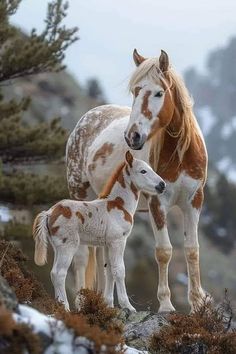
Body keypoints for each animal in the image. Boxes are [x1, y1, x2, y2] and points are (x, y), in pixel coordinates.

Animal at [32, 151, 166, 312]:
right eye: (143, 171)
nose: (162, 185)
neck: (118, 205)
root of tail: (49, 212)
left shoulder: (108, 244)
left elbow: (109, 271)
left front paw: (109, 305)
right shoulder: (118, 241)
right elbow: (119, 270)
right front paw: (128, 306)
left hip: (57, 246)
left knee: (53, 273)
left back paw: (59, 306)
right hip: (68, 245)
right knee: (59, 273)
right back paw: (65, 309)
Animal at [66, 49, 206, 312]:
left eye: (159, 92)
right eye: (135, 91)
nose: (133, 136)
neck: (180, 155)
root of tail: (86, 118)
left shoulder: (193, 201)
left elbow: (192, 250)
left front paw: (198, 305)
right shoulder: (157, 203)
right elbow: (164, 251)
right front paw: (166, 305)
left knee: (103, 257)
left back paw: (104, 302)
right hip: (80, 196)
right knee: (81, 256)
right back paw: (81, 302)